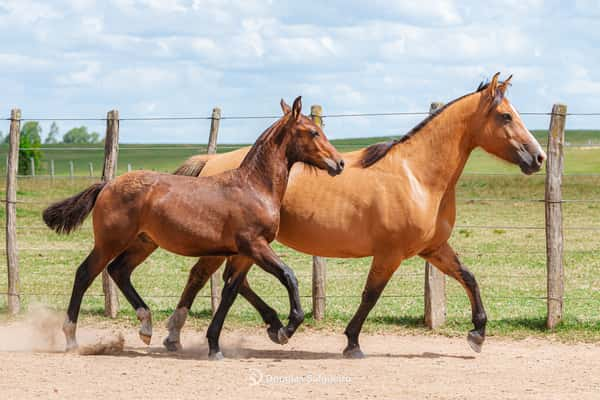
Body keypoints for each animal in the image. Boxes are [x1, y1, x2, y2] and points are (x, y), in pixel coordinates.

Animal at [41, 97, 342, 360]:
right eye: (314, 132)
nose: (339, 163)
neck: (254, 187)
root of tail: (107, 184)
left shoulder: (243, 254)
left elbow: (230, 292)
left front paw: (218, 345)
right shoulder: (254, 245)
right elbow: (288, 276)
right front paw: (288, 327)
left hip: (143, 242)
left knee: (119, 271)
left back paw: (146, 326)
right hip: (110, 242)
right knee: (85, 273)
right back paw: (72, 339)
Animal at [162, 73, 548, 358]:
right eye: (506, 116)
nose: (539, 157)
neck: (418, 176)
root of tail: (212, 161)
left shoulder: (433, 249)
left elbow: (469, 277)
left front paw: (478, 333)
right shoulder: (391, 254)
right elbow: (370, 295)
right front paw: (352, 343)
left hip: (245, 246)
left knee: (232, 281)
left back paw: (268, 326)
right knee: (202, 276)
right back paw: (177, 334)